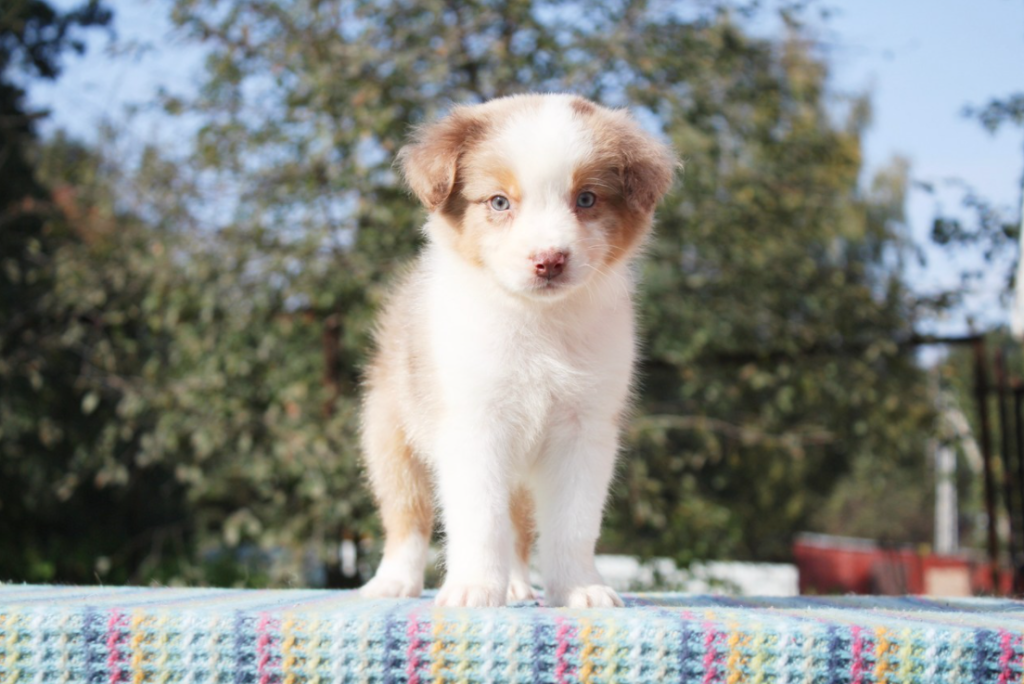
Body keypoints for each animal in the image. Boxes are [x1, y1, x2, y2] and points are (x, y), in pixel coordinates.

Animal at [356, 93, 675, 606]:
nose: (549, 260)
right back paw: (393, 582)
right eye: (500, 202)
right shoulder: (472, 424)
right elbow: (479, 519)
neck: (537, 321)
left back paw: (517, 585)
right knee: (408, 518)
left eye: (586, 199)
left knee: (520, 529)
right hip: (391, 436)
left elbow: (574, 523)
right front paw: (472, 589)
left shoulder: (584, 429)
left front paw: (580, 589)